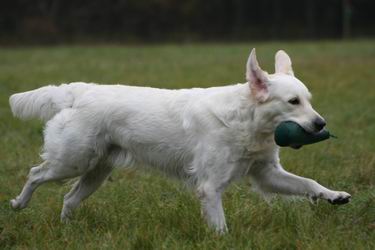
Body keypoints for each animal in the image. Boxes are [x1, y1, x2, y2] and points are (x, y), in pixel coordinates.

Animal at [8, 48, 352, 232]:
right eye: (293, 102)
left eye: (308, 100)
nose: (321, 123)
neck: (247, 120)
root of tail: (77, 90)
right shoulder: (210, 187)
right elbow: (220, 226)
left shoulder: (267, 173)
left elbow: (308, 184)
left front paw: (335, 195)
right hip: (72, 161)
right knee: (35, 174)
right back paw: (18, 204)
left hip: (96, 171)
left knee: (68, 198)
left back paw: (67, 229)